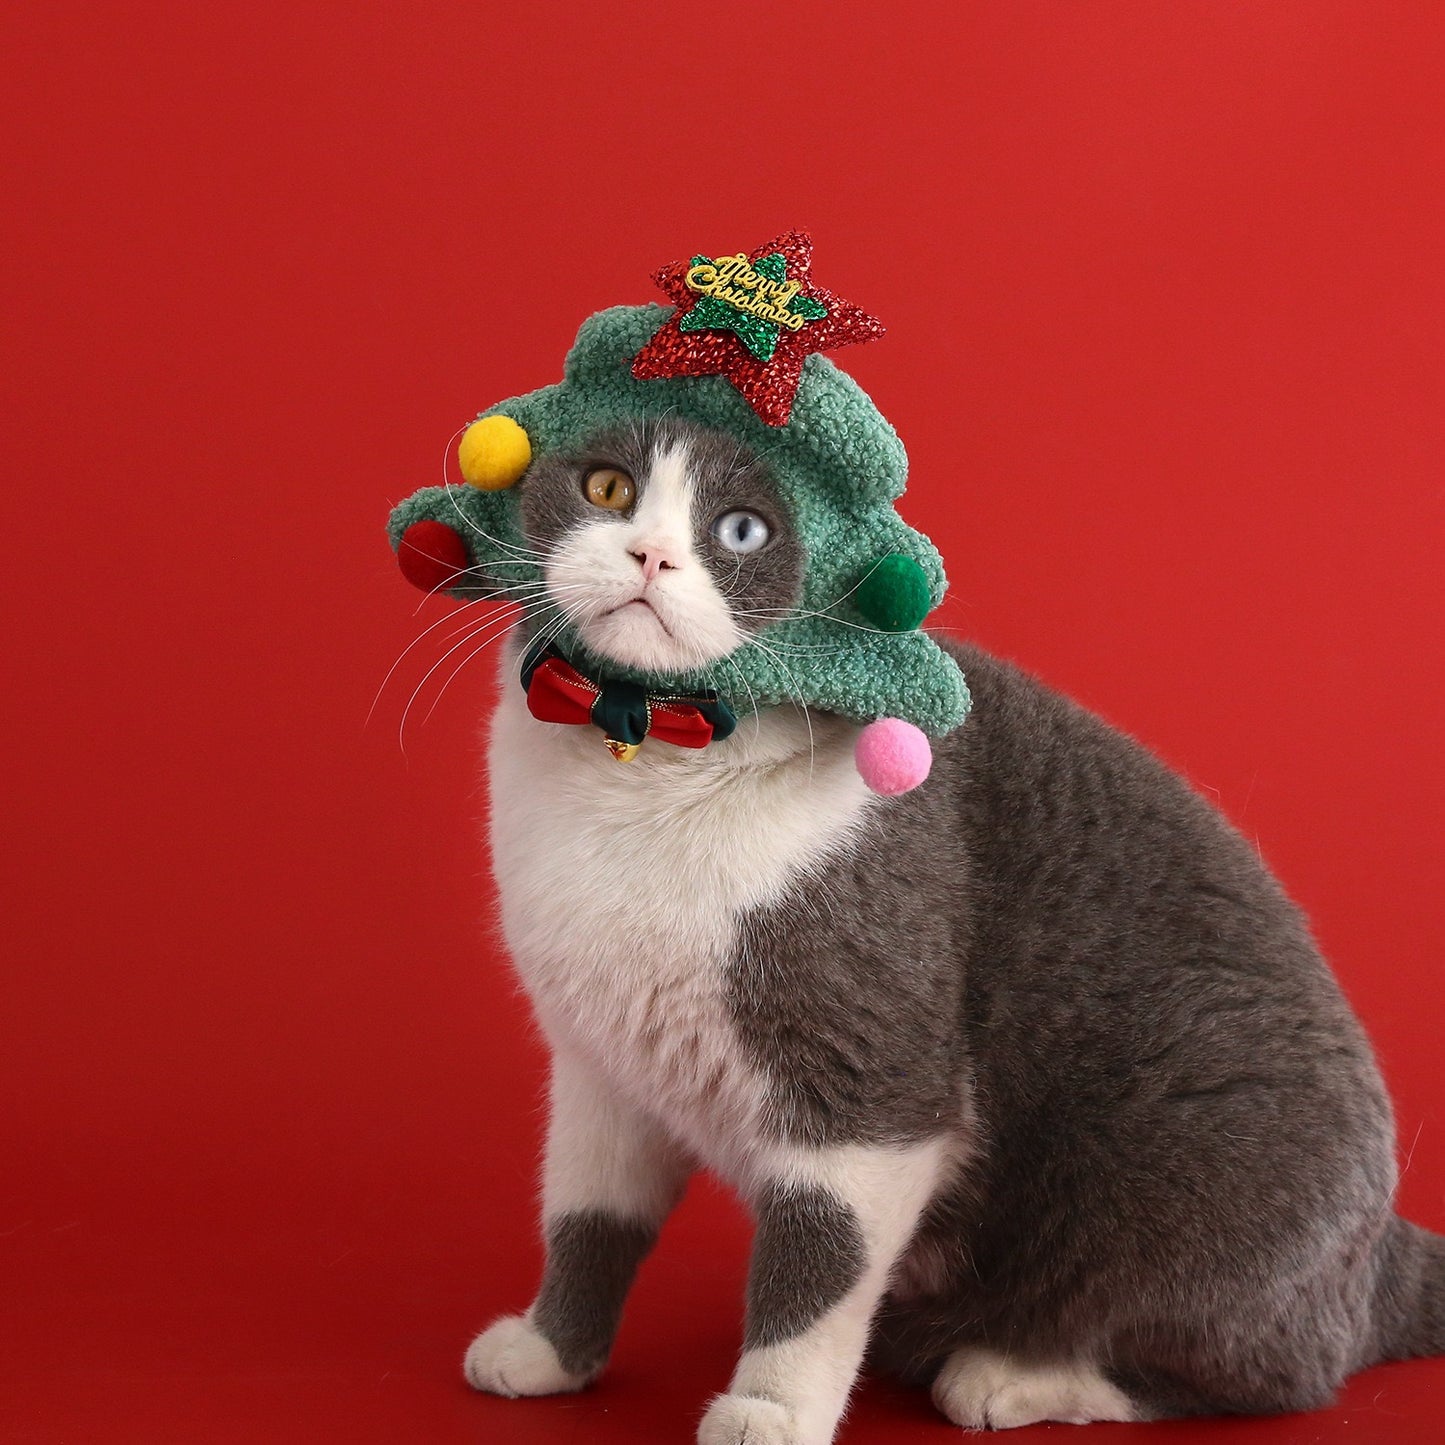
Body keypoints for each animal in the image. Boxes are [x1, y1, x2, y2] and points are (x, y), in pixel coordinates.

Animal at [453, 413, 1445, 1439]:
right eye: (607, 487)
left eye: (741, 531)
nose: (649, 553)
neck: (642, 759)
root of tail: (1386, 1248)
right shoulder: (602, 1062)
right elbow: (589, 1217)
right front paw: (551, 1348)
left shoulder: (867, 1086)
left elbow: (821, 1257)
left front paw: (770, 1408)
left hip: (1198, 1168)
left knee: (1268, 1370)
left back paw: (1009, 1373)